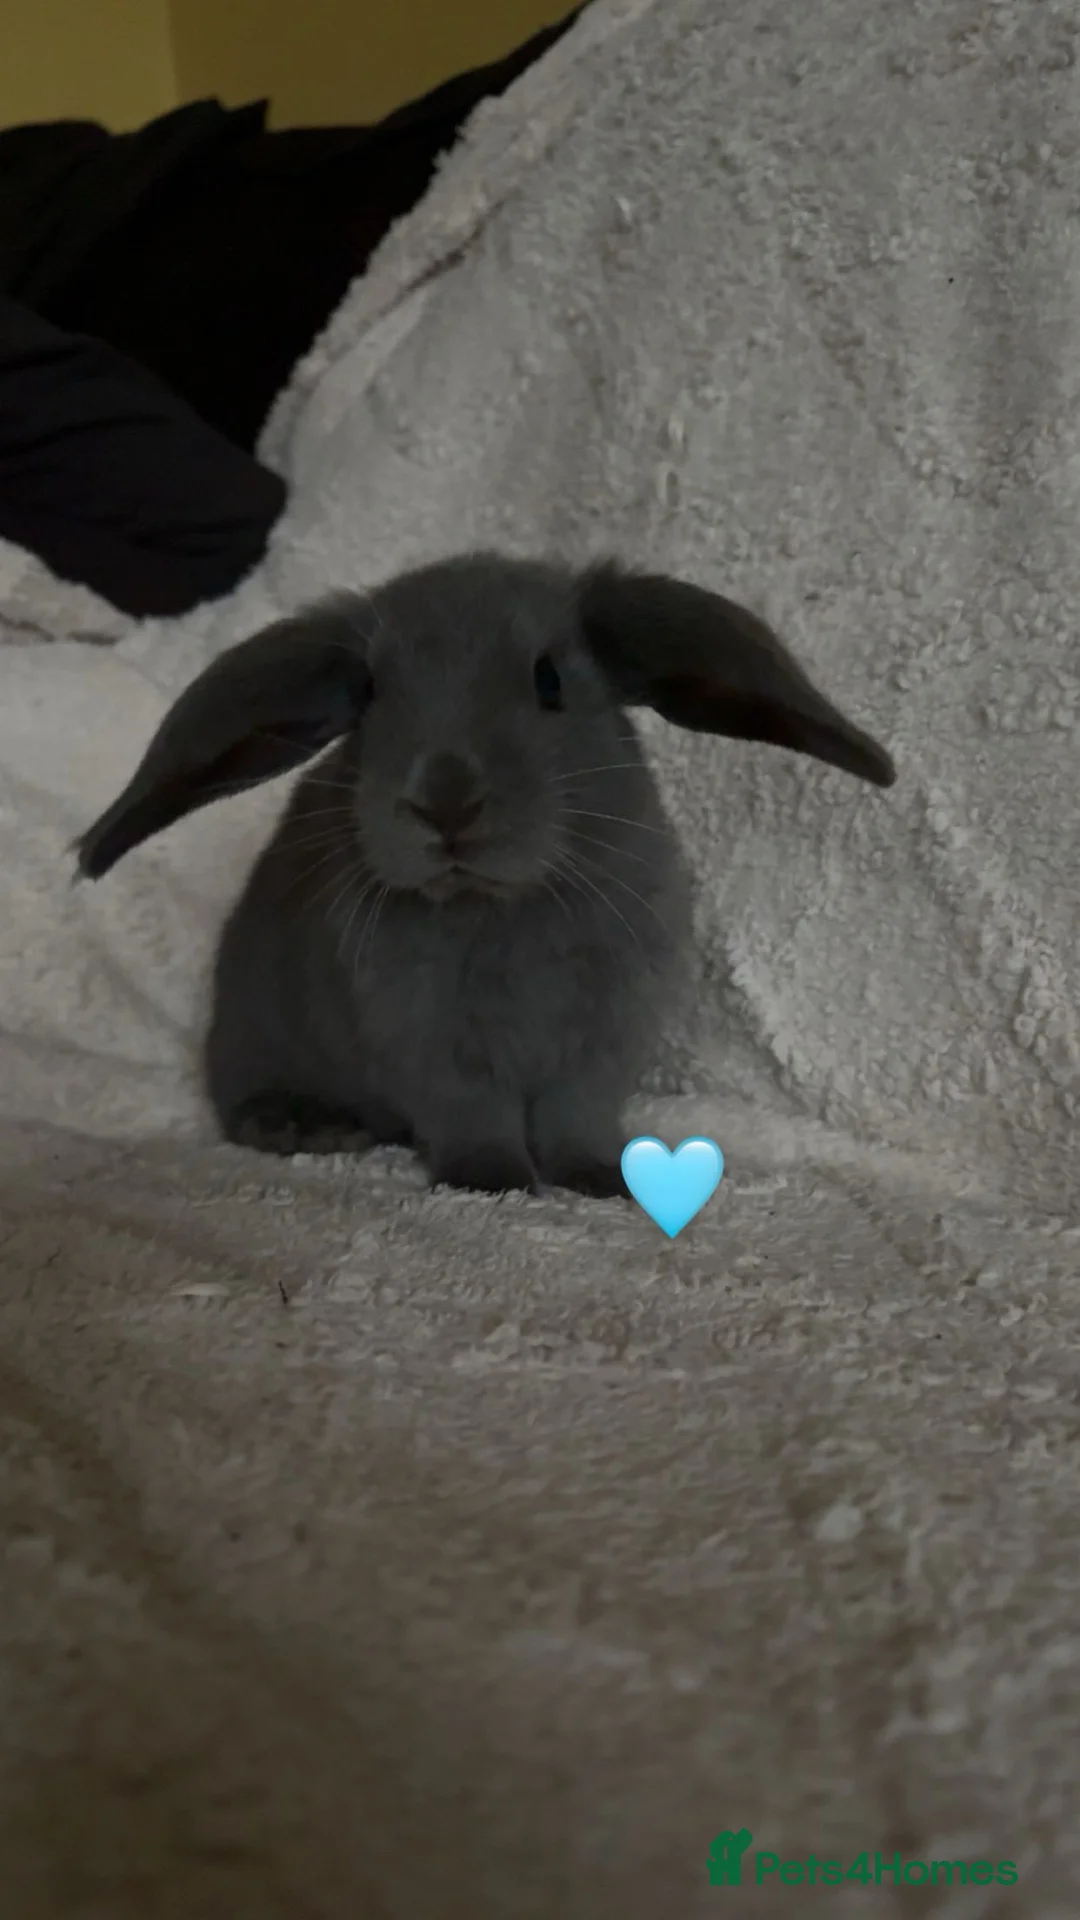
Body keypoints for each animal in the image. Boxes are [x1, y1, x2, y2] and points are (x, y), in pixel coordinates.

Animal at [75, 553, 896, 1198]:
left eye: (550, 680)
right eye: (369, 692)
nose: (444, 800)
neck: (498, 905)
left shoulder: (603, 1039)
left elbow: (576, 1117)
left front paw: (598, 1181)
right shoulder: (432, 1045)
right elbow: (476, 1117)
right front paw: (491, 1182)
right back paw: (305, 1128)